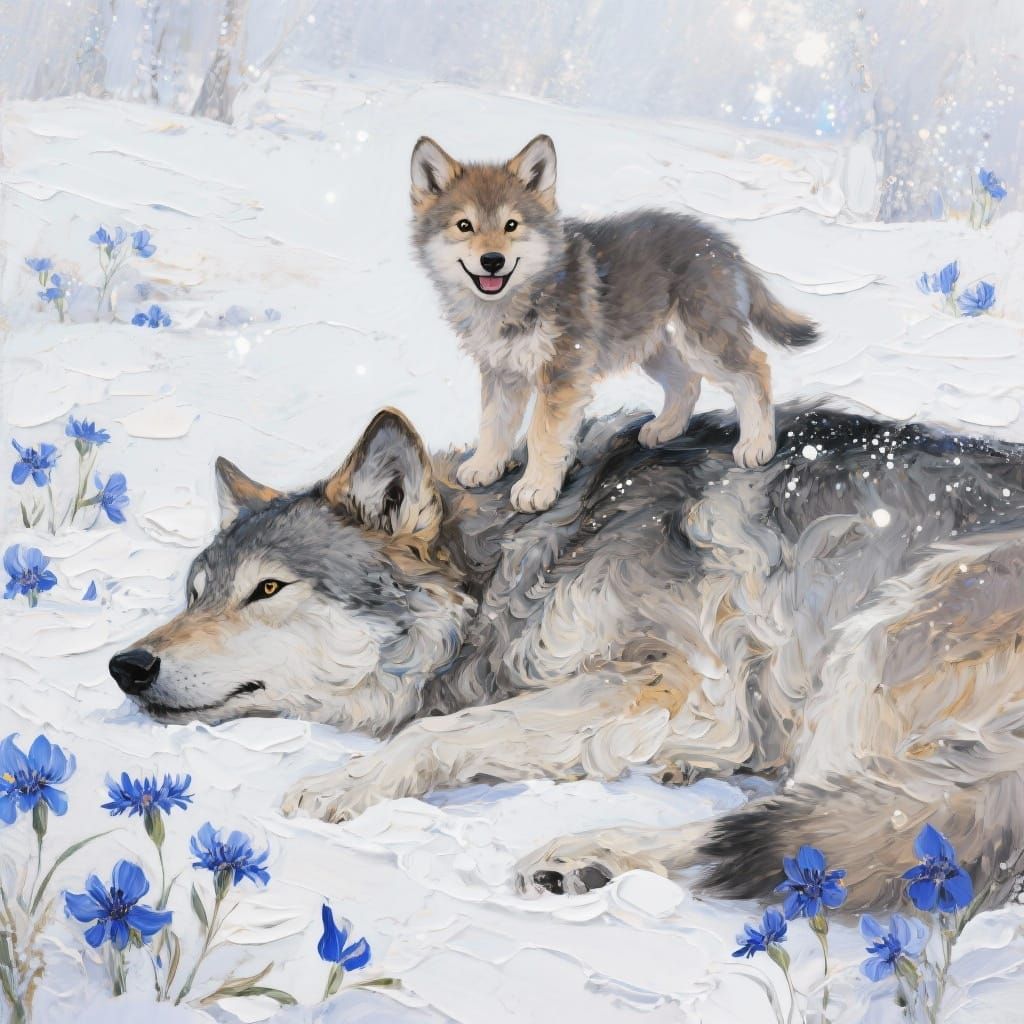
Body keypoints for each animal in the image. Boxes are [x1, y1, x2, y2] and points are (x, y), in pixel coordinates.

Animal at [110, 403, 1024, 909]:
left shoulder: (676, 682)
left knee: (820, 834)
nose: (127, 667)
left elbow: (438, 733)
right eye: (196, 592)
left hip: (886, 632)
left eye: (267, 590)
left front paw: (345, 785)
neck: (523, 553)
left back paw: (588, 854)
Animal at [410, 133, 819, 514]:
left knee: (756, 369)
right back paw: (665, 429)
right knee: (687, 381)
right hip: (651, 346)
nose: (493, 260)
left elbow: (542, 435)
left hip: (703, 341)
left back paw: (756, 445)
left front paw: (535, 488)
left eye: (512, 225)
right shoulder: (501, 371)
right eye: (465, 225)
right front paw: (484, 466)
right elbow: (493, 424)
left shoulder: (562, 375)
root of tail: (722, 243)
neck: (518, 300)